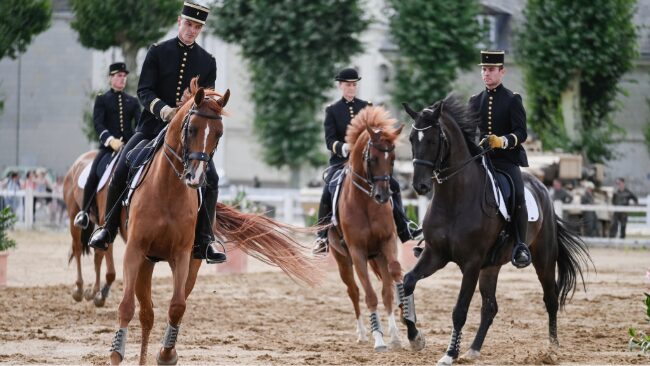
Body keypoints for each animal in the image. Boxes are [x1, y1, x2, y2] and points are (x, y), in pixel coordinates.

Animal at [63, 150, 125, 308]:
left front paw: (97, 294)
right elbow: (111, 272)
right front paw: (100, 296)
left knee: (97, 255)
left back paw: (92, 291)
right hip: (73, 216)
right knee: (78, 250)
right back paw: (79, 289)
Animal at [108, 76, 318, 364]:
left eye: (218, 133)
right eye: (191, 129)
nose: (196, 177)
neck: (167, 190)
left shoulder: (182, 255)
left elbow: (177, 306)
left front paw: (167, 354)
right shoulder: (135, 250)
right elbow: (127, 306)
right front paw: (116, 352)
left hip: (184, 261)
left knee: (157, 309)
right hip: (145, 260)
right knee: (145, 312)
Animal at [326, 104, 402, 350]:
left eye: (392, 159)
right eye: (373, 158)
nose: (383, 196)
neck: (366, 202)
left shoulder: (387, 242)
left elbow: (390, 285)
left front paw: (397, 334)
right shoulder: (357, 251)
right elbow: (370, 295)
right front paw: (378, 338)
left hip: (376, 255)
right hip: (343, 260)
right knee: (353, 291)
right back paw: (362, 332)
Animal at [398, 96, 588, 364]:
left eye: (434, 140)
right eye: (413, 138)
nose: (420, 186)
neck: (454, 198)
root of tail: (542, 188)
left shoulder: (471, 263)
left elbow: (460, 310)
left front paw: (450, 354)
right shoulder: (435, 255)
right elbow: (408, 282)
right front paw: (416, 338)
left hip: (543, 258)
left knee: (550, 298)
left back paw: (552, 349)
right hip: (491, 266)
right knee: (490, 307)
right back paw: (474, 349)